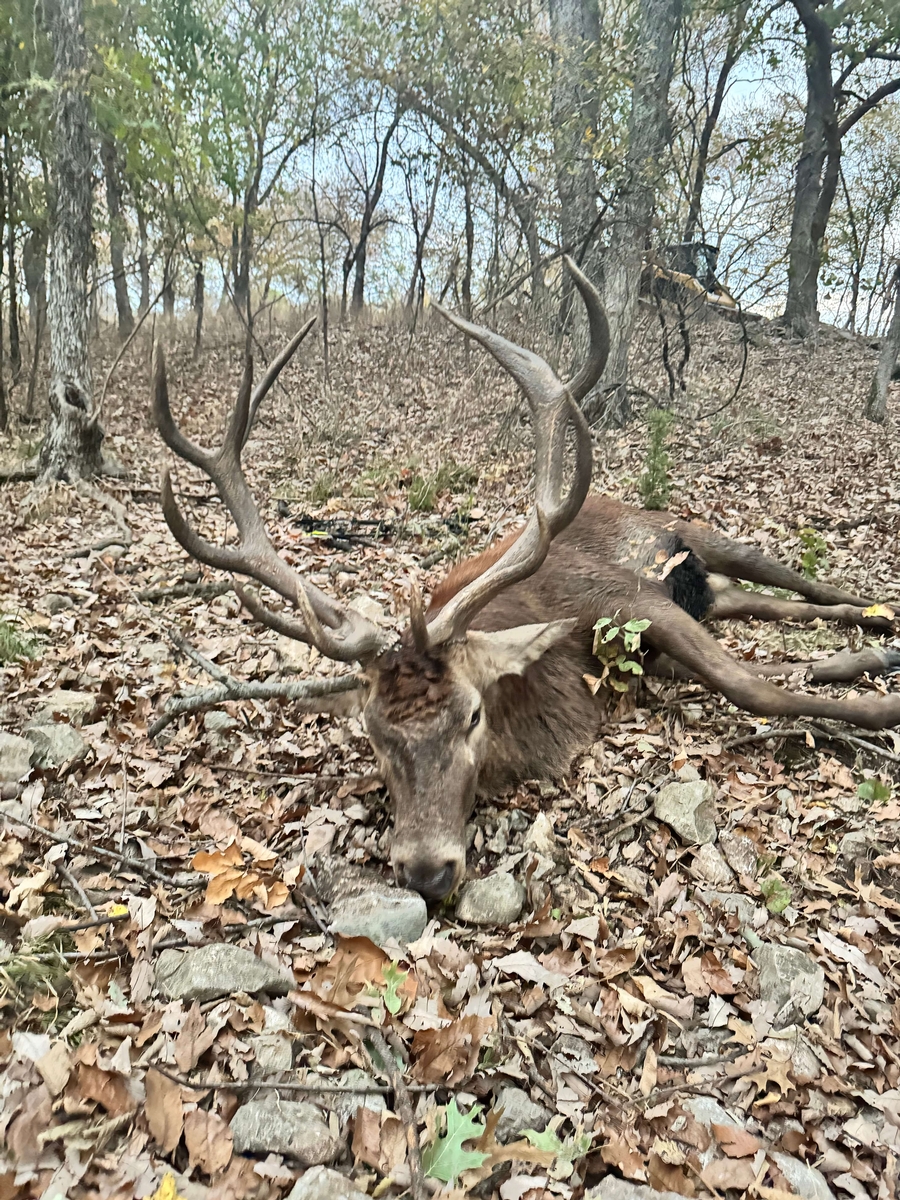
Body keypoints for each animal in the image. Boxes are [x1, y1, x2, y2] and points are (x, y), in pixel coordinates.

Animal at [152, 260, 900, 901]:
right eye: (373, 733)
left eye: (472, 714)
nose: (426, 870)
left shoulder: (628, 601)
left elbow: (756, 688)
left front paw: (882, 708)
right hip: (708, 591)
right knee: (760, 602)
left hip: (698, 536)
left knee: (801, 584)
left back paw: (878, 617)